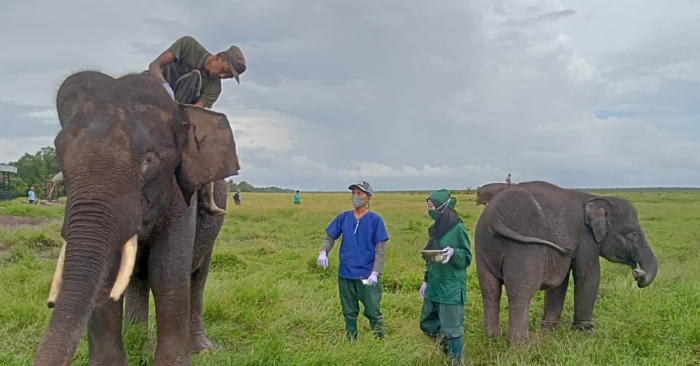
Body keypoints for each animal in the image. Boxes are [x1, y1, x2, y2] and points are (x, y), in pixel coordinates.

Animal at [32, 70, 241, 364]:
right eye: (59, 156)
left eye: (150, 160)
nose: (50, 303)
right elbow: (108, 275)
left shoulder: (181, 192)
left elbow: (167, 271)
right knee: (136, 277)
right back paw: (138, 344)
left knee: (197, 276)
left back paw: (200, 348)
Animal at [474, 180, 660, 344]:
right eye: (633, 234)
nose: (637, 273)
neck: (595, 198)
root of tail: (496, 218)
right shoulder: (585, 238)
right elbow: (587, 275)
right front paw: (587, 334)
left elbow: (560, 282)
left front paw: (547, 333)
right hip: (524, 248)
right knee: (521, 293)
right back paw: (520, 345)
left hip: (482, 245)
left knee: (490, 291)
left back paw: (492, 339)